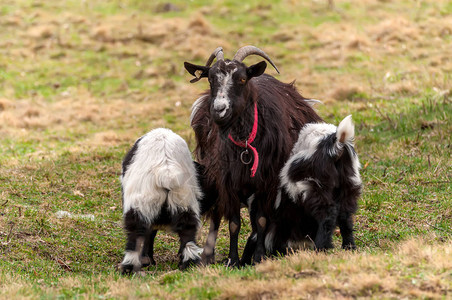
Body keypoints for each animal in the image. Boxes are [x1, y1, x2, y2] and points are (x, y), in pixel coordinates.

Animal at [184, 45, 322, 266]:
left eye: (241, 79)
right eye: (211, 79)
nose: (219, 110)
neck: (244, 144)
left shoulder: (267, 183)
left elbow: (261, 220)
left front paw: (258, 257)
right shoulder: (227, 181)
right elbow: (233, 223)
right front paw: (232, 260)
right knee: (216, 213)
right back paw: (208, 256)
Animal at [266, 115, 362, 253]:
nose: (277, 250)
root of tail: (334, 145)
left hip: (314, 182)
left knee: (327, 214)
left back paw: (321, 247)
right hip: (348, 180)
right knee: (345, 215)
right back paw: (349, 245)